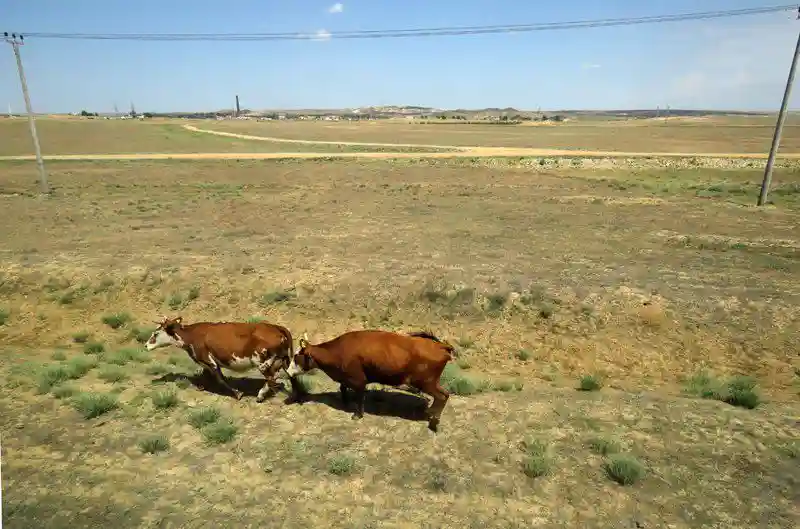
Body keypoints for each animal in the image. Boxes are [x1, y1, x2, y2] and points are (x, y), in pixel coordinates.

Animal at [284, 328, 454, 432]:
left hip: (426, 382)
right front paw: (345, 401)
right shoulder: (345, 377)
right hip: (431, 382)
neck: (338, 350)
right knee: (444, 395)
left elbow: (360, 396)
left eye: (297, 356)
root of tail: (440, 346)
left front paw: (357, 415)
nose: (287, 371)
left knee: (442, 396)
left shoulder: (358, 380)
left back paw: (433, 420)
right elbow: (342, 387)